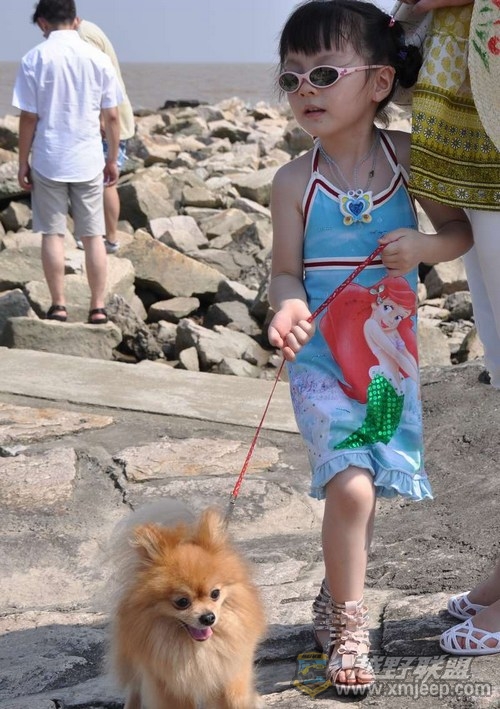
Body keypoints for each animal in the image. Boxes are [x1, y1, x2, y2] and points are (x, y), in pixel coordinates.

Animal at [109, 499, 266, 709]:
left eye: (215, 594)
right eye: (182, 602)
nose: (208, 617)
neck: (196, 649)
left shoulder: (229, 672)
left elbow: (235, 699)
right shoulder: (167, 685)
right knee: (134, 688)